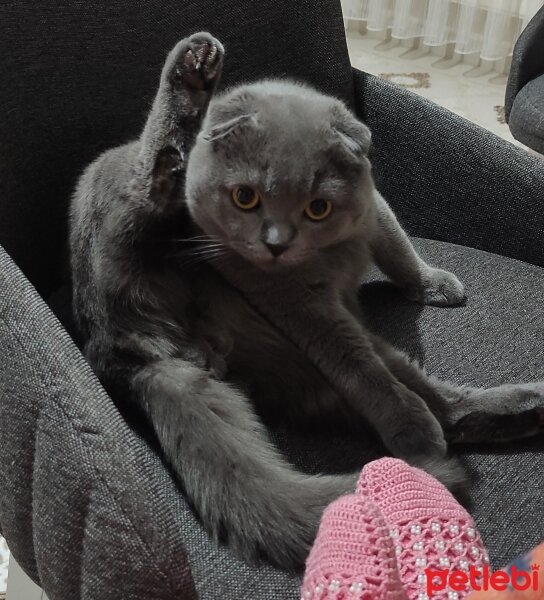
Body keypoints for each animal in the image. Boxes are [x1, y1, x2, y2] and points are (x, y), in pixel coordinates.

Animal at [69, 34, 544, 572]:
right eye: (245, 197)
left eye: (318, 207)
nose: (276, 243)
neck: (330, 253)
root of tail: (131, 353)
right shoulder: (296, 303)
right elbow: (358, 367)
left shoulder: (374, 211)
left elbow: (399, 251)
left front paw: (431, 283)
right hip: (121, 219)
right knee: (150, 181)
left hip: (313, 358)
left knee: (441, 402)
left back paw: (523, 409)